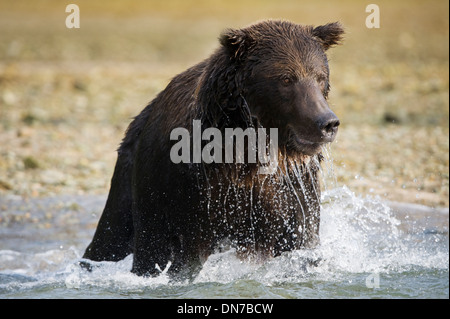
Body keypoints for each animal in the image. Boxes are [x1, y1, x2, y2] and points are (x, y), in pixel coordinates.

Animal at [82, 20, 342, 280]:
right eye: (287, 78)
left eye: (320, 77)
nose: (326, 122)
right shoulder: (188, 190)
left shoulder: (291, 189)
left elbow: (300, 238)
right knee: (114, 238)